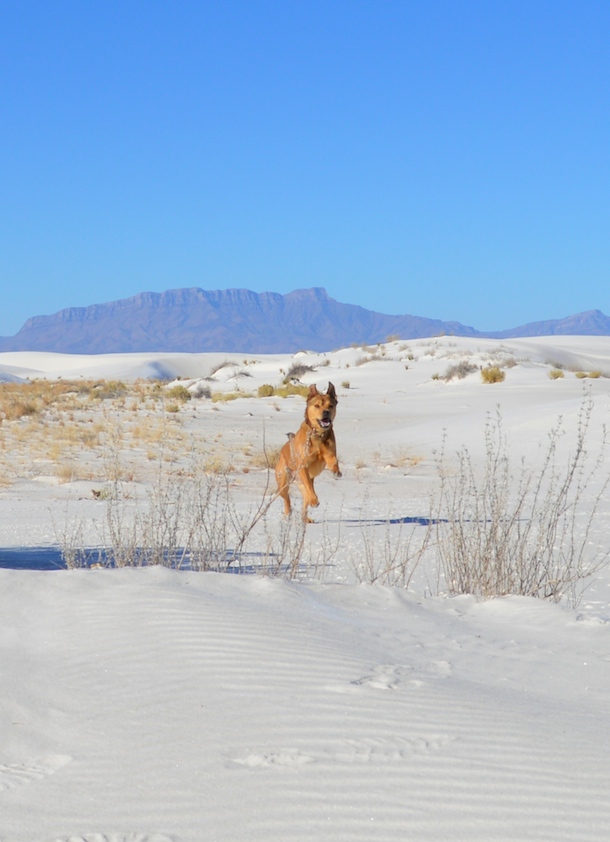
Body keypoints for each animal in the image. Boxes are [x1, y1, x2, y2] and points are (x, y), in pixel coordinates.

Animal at [274, 384, 340, 520]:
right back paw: (288, 514)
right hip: (283, 482)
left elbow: (333, 460)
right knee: (287, 498)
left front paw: (336, 471)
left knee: (305, 501)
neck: (318, 435)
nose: (326, 412)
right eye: (317, 405)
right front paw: (314, 500)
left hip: (300, 486)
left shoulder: (329, 453)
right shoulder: (303, 466)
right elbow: (309, 486)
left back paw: (305, 518)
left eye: (331, 405)